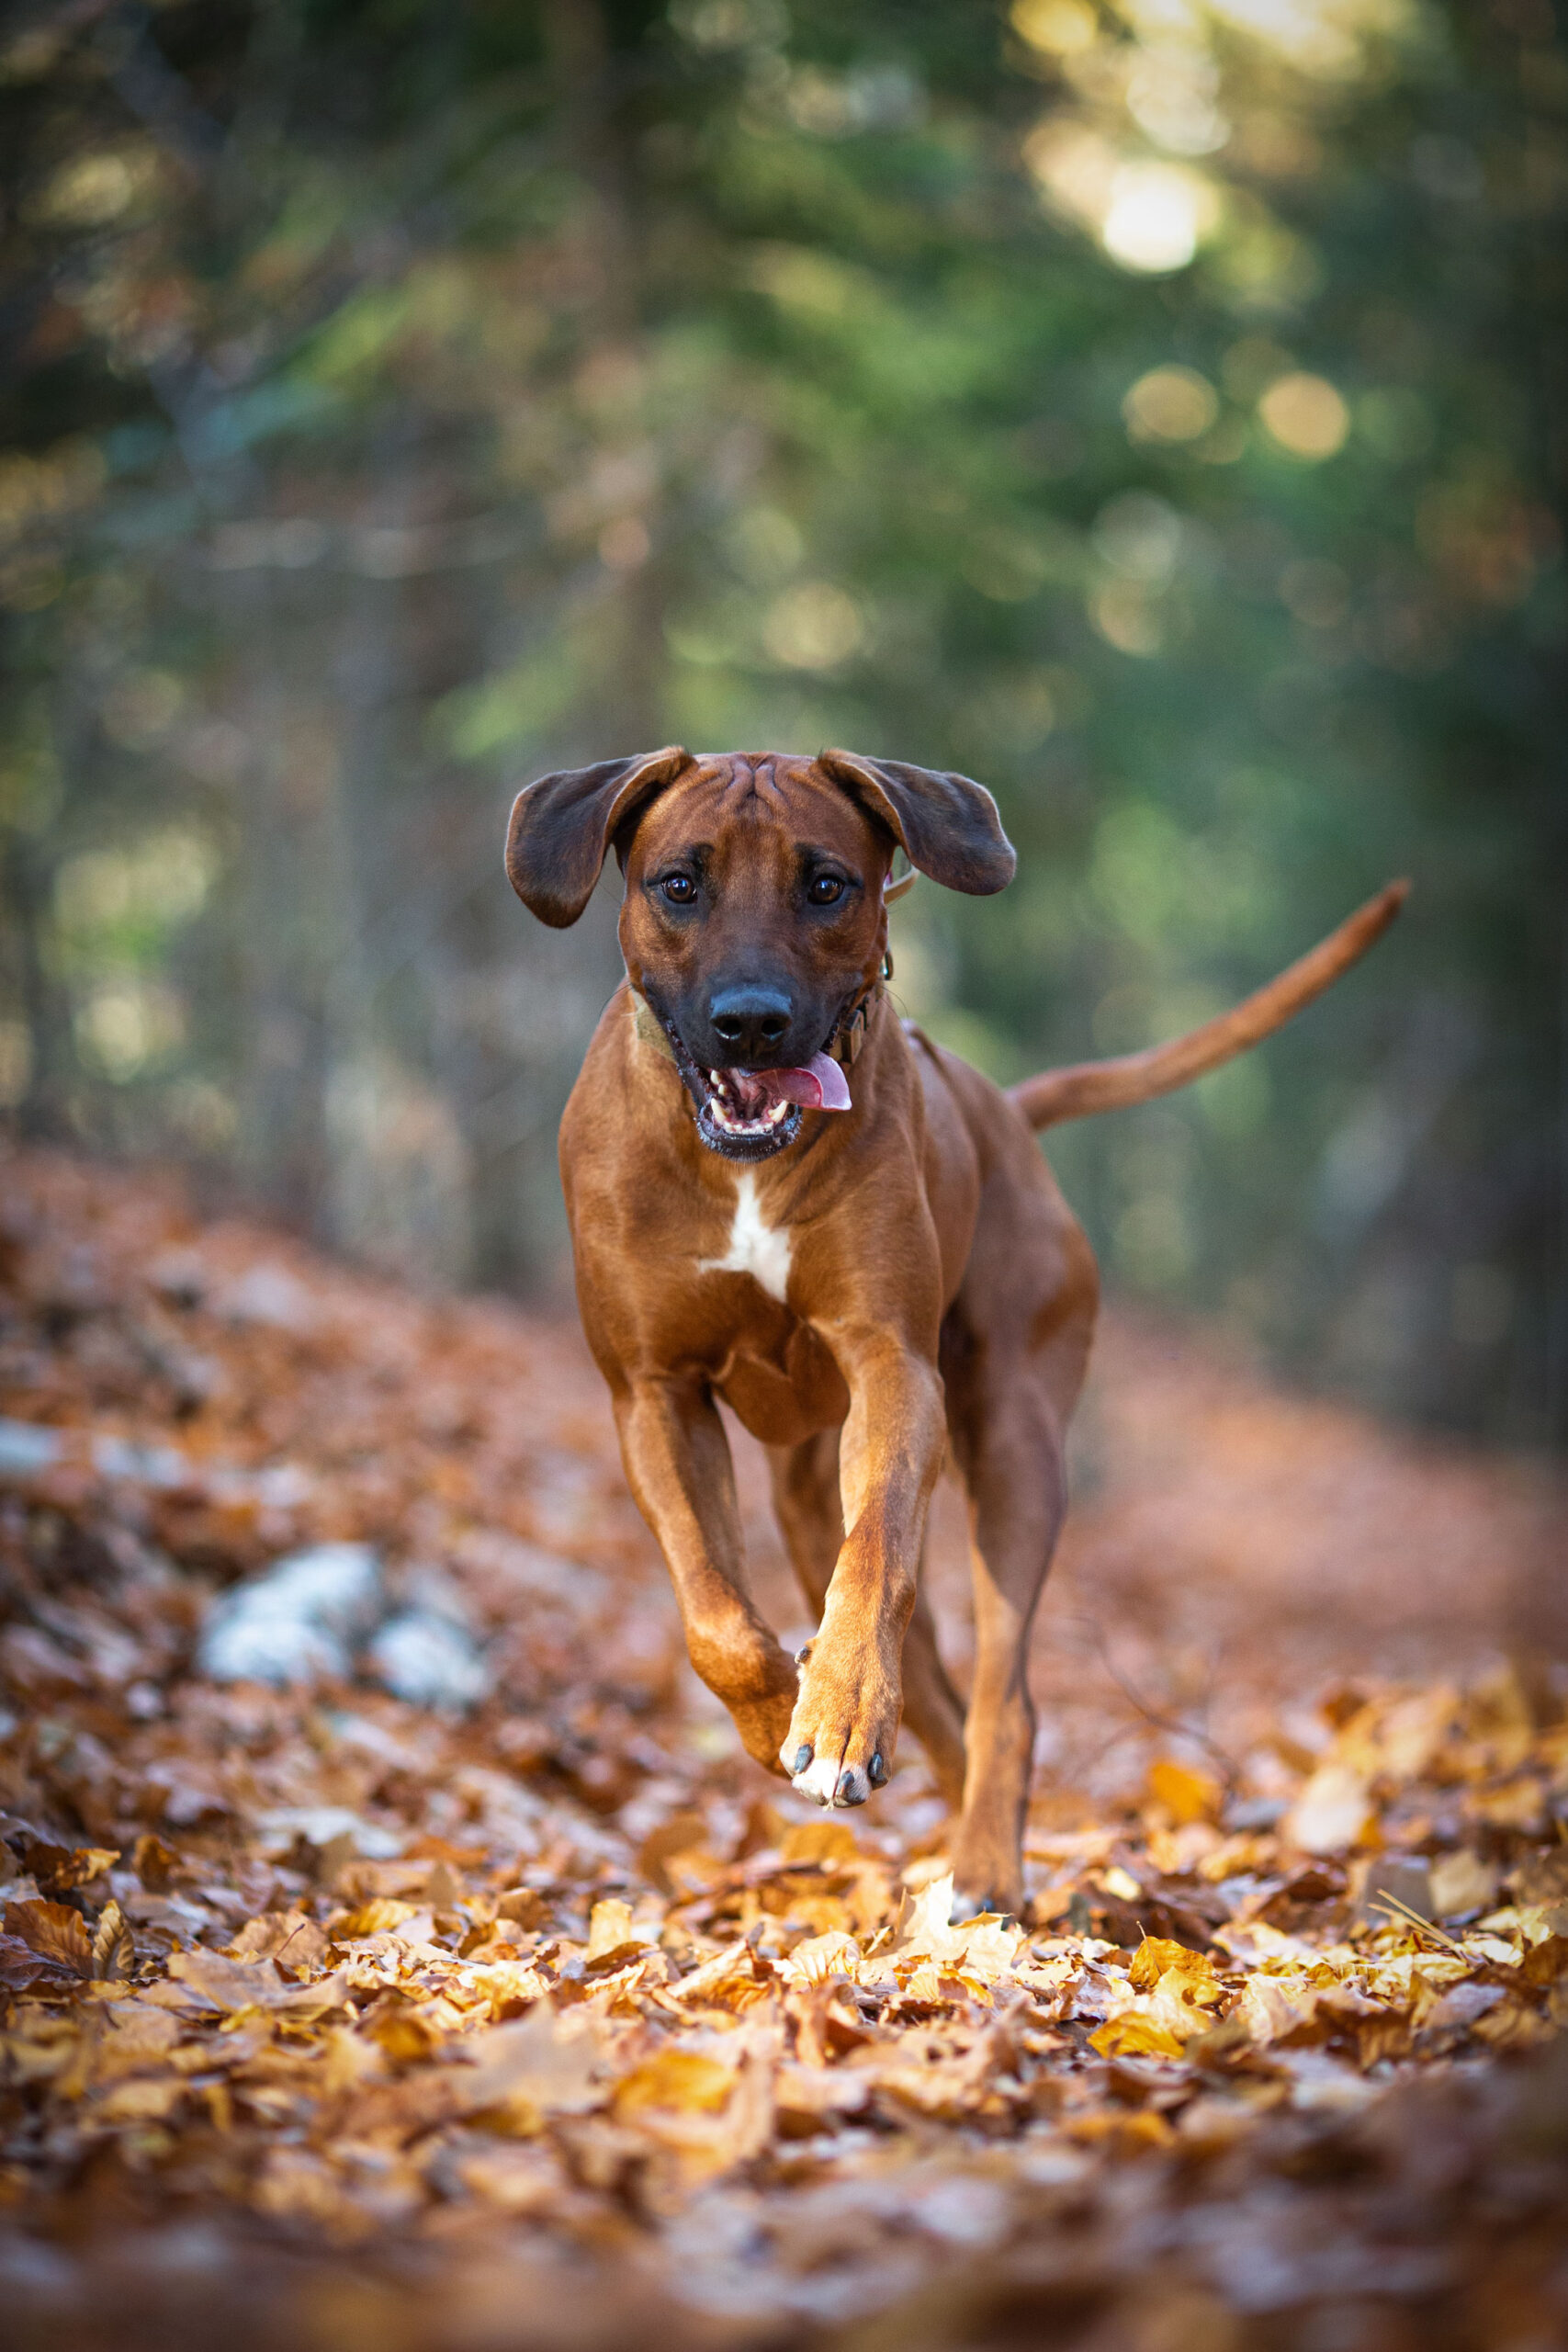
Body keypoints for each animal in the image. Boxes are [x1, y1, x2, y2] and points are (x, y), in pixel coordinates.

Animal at [505, 752, 1410, 1909]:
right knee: (925, 1674)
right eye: (678, 884)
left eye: (828, 885)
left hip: (1015, 1443)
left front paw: (841, 1703)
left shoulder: (895, 1366)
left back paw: (979, 1857)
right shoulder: (652, 1393)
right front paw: (783, 1712)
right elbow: (717, 1617)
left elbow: (880, 1545)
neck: (742, 1161)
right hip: (807, 1491)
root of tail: (1009, 1113)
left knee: (1000, 1694)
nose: (751, 1021)